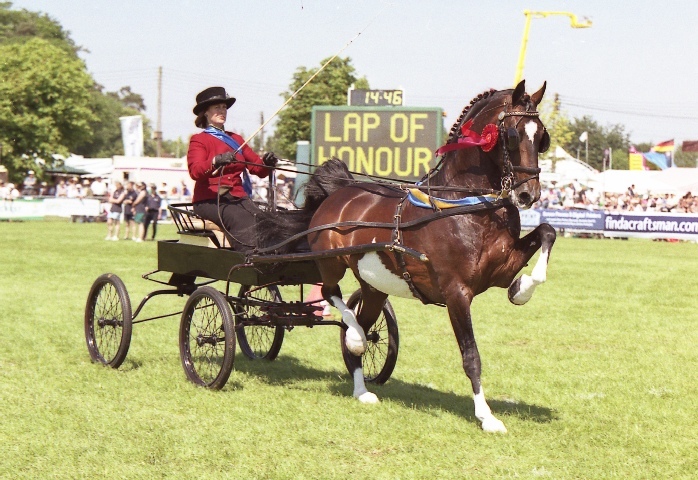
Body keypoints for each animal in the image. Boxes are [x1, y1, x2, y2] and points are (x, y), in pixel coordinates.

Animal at [304, 80, 556, 434]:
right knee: (331, 294)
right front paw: (487, 416)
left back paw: (361, 388)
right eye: (512, 134)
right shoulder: (456, 293)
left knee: (361, 324)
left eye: (542, 136)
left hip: (374, 288)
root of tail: (342, 190)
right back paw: (354, 339)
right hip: (330, 261)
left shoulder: (503, 268)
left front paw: (522, 290)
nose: (527, 194)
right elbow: (471, 356)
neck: (464, 204)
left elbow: (547, 232)